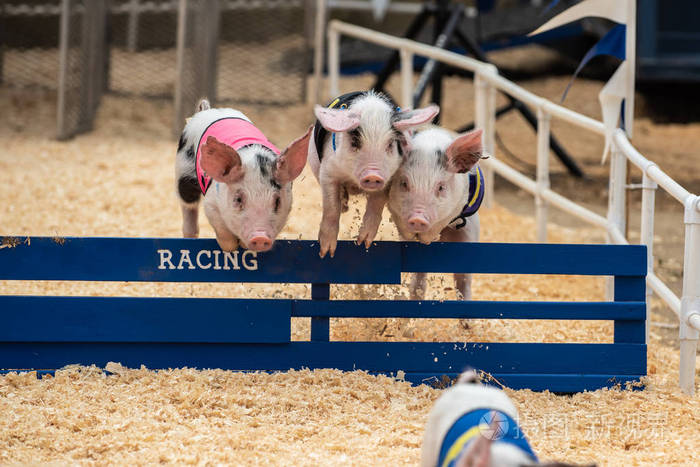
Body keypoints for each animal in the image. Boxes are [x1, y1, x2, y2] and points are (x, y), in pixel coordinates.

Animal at [174, 99, 308, 252]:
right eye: (238, 199)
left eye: (277, 201)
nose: (260, 237)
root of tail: (207, 110)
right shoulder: (211, 203)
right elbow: (224, 234)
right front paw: (231, 248)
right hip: (183, 171)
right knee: (188, 205)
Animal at [308, 90, 438, 260]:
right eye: (355, 143)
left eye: (390, 144)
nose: (373, 175)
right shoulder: (328, 171)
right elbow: (331, 207)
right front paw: (326, 253)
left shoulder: (390, 177)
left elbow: (376, 203)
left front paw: (364, 242)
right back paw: (344, 205)